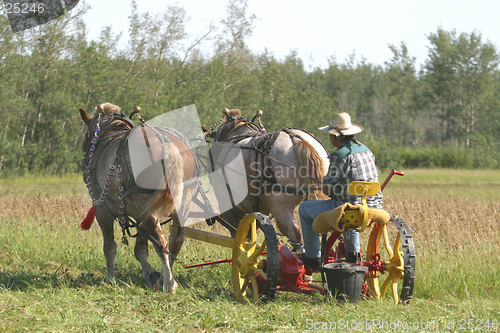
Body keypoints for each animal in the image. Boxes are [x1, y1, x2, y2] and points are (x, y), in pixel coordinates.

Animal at [79, 103, 198, 290]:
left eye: (87, 134)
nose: (84, 164)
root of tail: (166, 142)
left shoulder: (102, 210)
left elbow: (109, 246)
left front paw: (110, 277)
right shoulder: (138, 214)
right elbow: (141, 248)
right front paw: (149, 273)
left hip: (146, 208)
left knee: (161, 243)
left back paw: (169, 283)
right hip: (183, 199)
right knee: (175, 240)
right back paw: (166, 275)